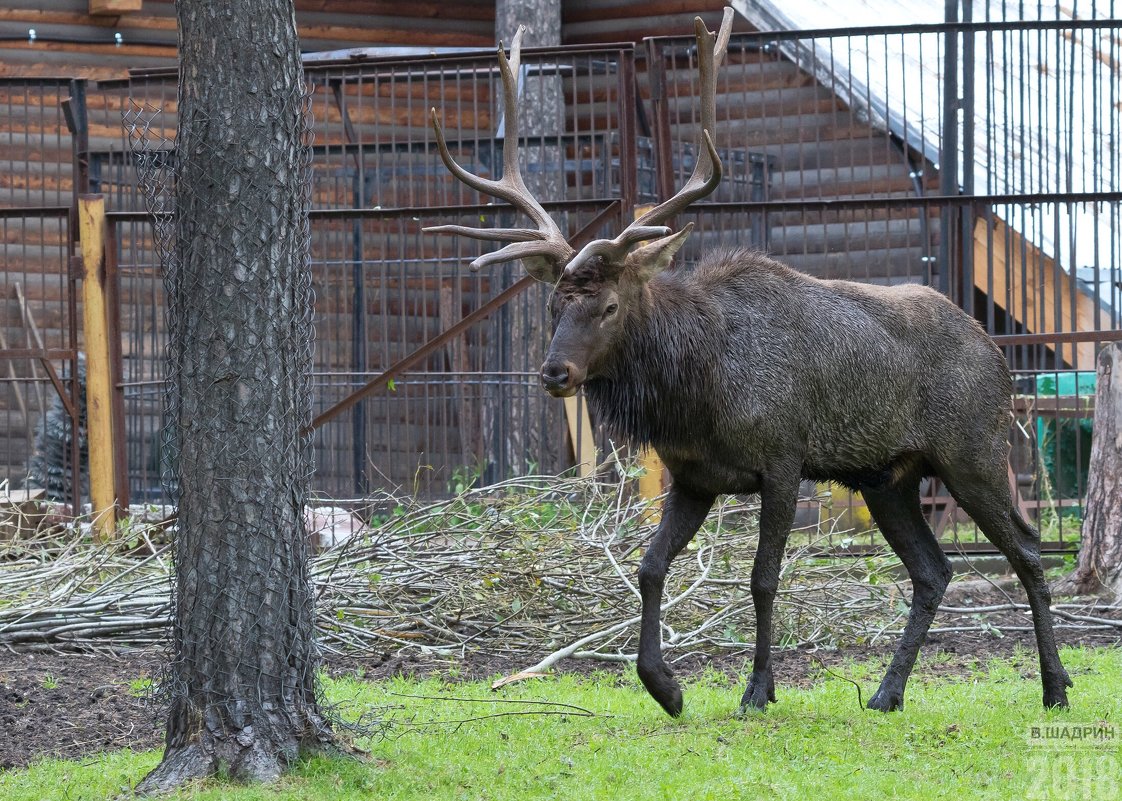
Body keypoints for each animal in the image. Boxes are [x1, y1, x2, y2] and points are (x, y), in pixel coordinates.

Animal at [426, 9, 1068, 713]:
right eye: (552, 305)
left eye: (610, 306)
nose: (554, 373)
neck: (698, 392)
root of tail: (997, 356)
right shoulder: (694, 477)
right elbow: (649, 567)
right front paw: (665, 686)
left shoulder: (783, 460)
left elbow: (763, 579)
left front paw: (758, 690)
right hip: (887, 477)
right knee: (934, 569)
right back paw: (886, 693)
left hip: (972, 451)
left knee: (1028, 550)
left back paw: (1055, 686)